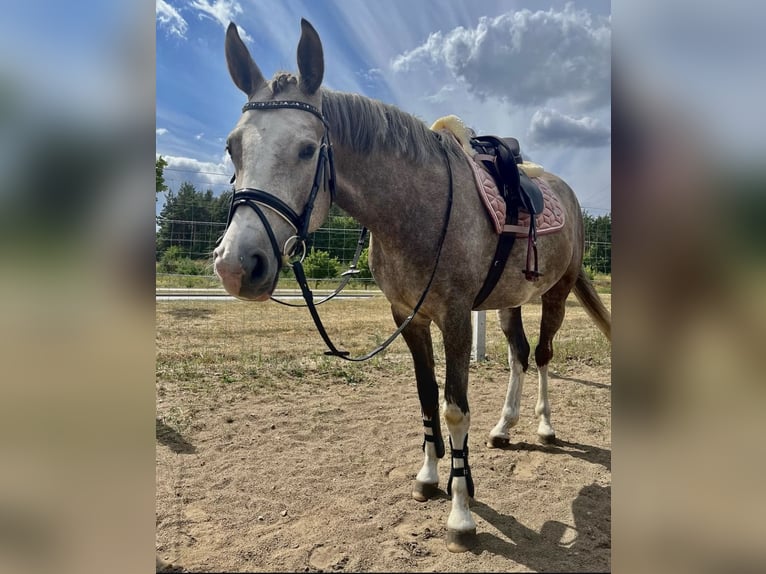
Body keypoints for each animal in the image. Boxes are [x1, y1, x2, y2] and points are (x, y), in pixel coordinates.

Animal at [214, 20, 612, 556]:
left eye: (306, 148)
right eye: (232, 146)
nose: (237, 265)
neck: (416, 210)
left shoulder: (456, 319)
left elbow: (454, 409)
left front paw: (461, 513)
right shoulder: (408, 317)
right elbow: (426, 398)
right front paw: (428, 477)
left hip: (556, 293)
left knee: (545, 355)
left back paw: (545, 427)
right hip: (509, 302)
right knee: (520, 355)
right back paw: (504, 427)